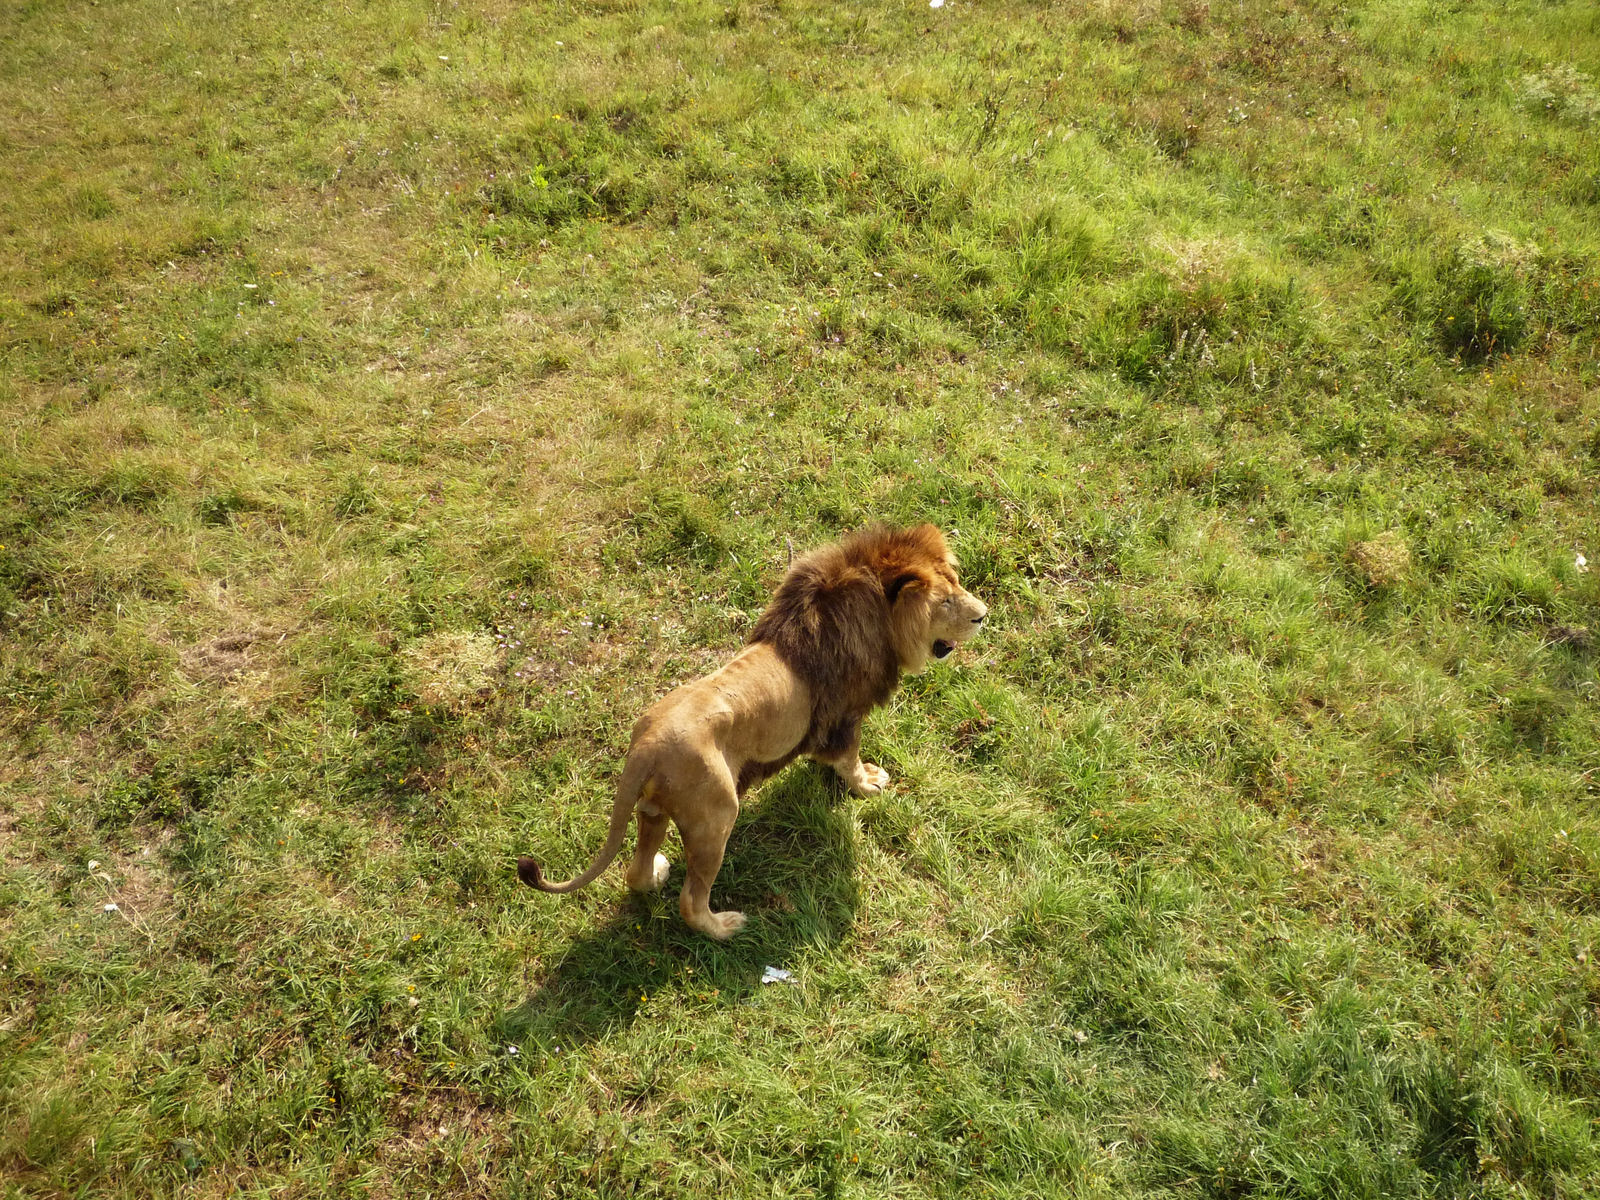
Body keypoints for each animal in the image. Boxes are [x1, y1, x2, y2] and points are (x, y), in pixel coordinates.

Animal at [518, 524, 979, 940]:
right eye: (945, 601)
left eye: (956, 585)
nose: (984, 615)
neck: (877, 619)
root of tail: (644, 746)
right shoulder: (845, 718)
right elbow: (848, 760)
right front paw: (867, 784)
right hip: (717, 816)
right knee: (691, 900)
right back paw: (725, 927)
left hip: (653, 811)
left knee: (635, 871)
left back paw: (656, 875)